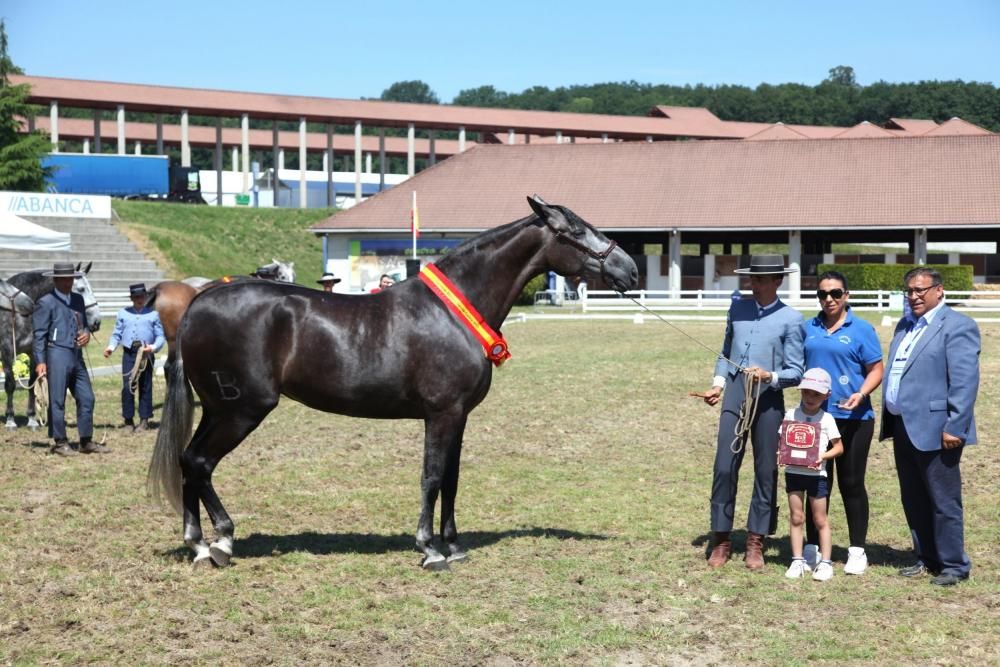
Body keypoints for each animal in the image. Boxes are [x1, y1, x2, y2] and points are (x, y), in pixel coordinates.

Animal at [3, 264, 101, 430]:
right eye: (81, 289)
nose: (97, 322)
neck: (19, 312)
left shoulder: (33, 352)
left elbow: (33, 382)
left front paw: (32, 419)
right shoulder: (7, 351)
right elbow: (10, 384)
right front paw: (10, 420)